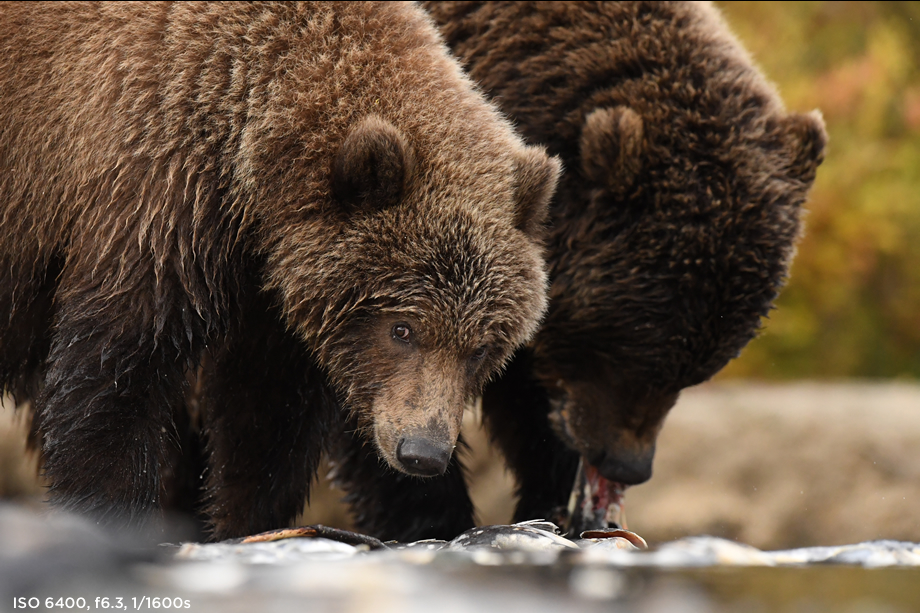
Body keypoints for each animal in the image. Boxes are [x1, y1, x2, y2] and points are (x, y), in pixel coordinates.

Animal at [0, 1, 560, 536]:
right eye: (402, 329)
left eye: (482, 348)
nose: (422, 452)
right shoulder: (155, 197)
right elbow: (117, 376)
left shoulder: (279, 299)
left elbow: (267, 420)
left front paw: (241, 523)